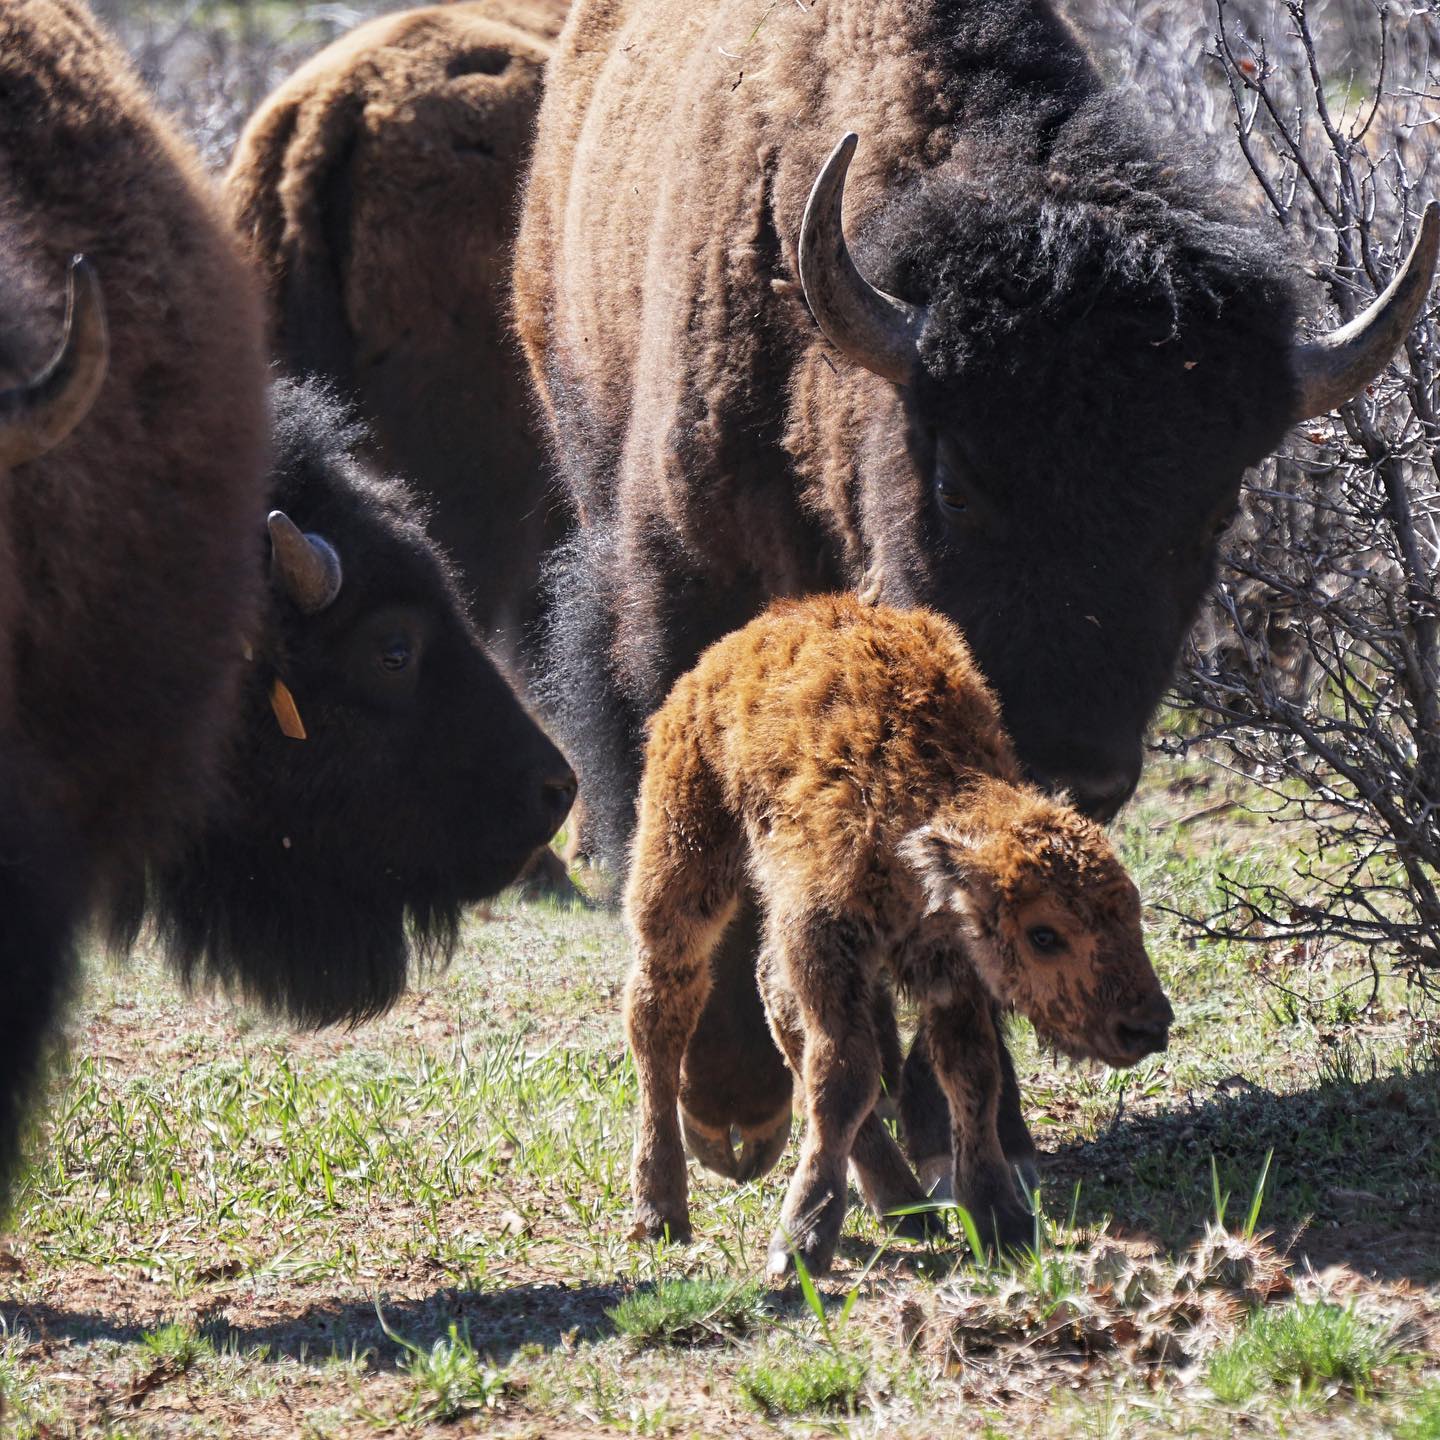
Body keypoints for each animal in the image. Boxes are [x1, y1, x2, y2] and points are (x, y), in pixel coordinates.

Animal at [513, 0, 1438, 1181]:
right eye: (956, 481)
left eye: (1215, 509)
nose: (1078, 767)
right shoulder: (680, 594)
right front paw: (734, 1114)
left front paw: (984, 1134)